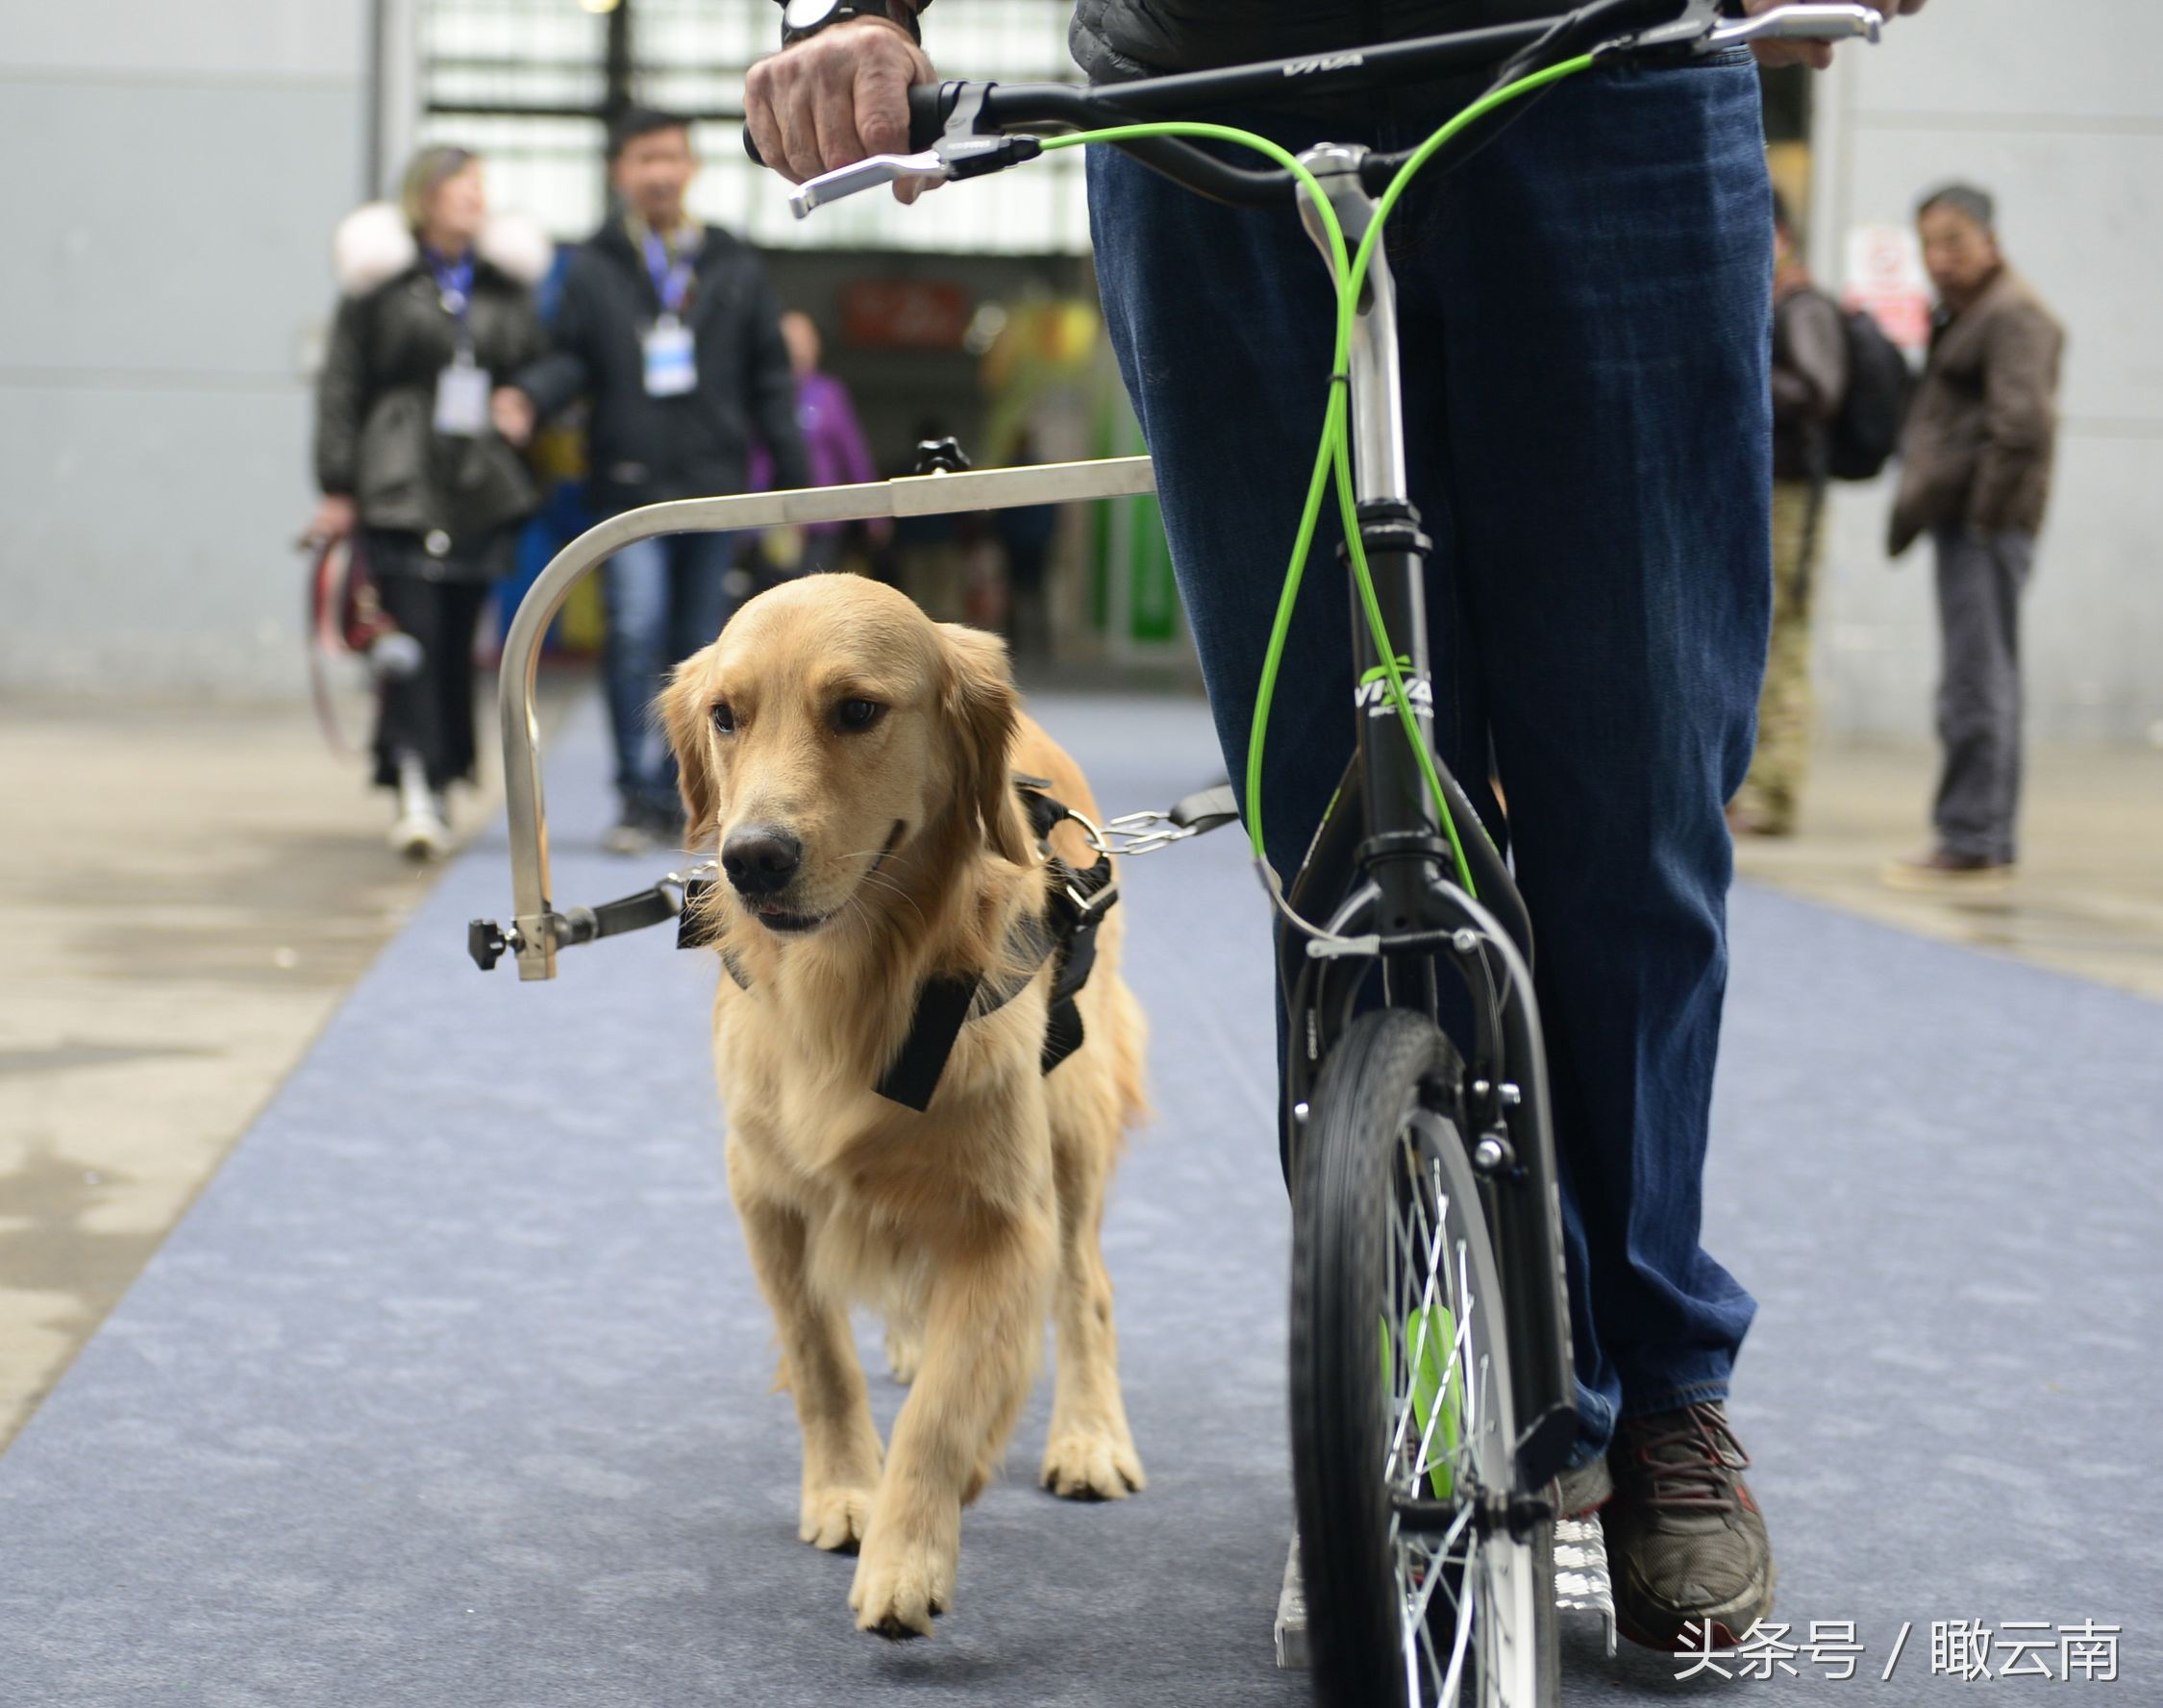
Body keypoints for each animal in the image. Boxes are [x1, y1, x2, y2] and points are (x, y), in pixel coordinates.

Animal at [661, 579, 1151, 1643]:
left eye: (857, 709)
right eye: (725, 714)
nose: (753, 857)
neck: (852, 984)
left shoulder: (1005, 1219)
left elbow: (946, 1406)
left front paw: (907, 1553)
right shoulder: (767, 1194)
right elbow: (820, 1356)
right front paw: (848, 1491)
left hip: (1073, 1120)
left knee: (1087, 1287)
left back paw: (1090, 1434)